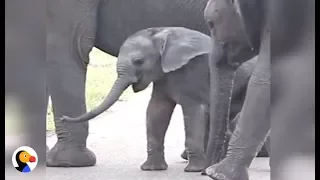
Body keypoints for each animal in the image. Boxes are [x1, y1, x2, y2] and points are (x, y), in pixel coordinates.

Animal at [60, 27, 255, 172]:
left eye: (138, 61)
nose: (63, 118)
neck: (163, 35)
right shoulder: (162, 76)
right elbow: (156, 111)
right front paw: (151, 169)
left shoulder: (192, 72)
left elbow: (193, 111)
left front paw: (193, 170)